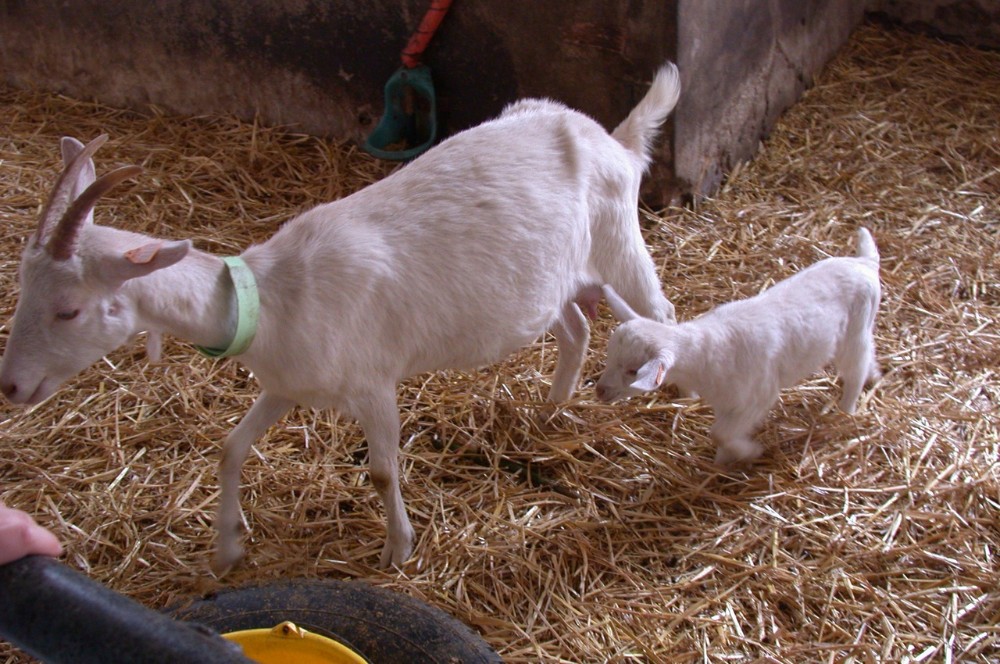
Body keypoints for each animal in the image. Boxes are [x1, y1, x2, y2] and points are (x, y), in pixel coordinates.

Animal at [0, 63, 681, 573]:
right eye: (23, 292)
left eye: (68, 309)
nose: (11, 386)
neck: (273, 298)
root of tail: (613, 140)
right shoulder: (285, 384)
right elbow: (230, 448)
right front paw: (227, 548)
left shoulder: (374, 383)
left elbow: (380, 471)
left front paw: (397, 551)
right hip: (552, 278)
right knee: (576, 326)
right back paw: (551, 411)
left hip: (621, 244)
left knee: (662, 313)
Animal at [595, 228, 882, 465]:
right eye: (609, 357)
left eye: (633, 370)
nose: (600, 391)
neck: (705, 355)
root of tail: (864, 262)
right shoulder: (727, 403)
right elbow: (721, 434)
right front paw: (723, 464)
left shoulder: (757, 396)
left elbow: (720, 433)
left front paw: (750, 452)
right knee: (867, 354)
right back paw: (874, 376)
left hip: (854, 329)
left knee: (855, 368)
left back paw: (847, 410)